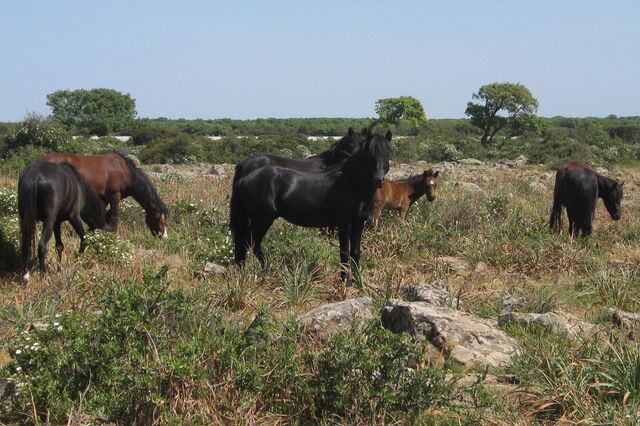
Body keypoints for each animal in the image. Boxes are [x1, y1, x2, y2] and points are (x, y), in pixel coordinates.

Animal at [39, 152, 168, 238]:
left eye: (165, 218)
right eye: (157, 217)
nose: (163, 236)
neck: (124, 170)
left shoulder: (103, 199)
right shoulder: (115, 196)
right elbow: (114, 218)